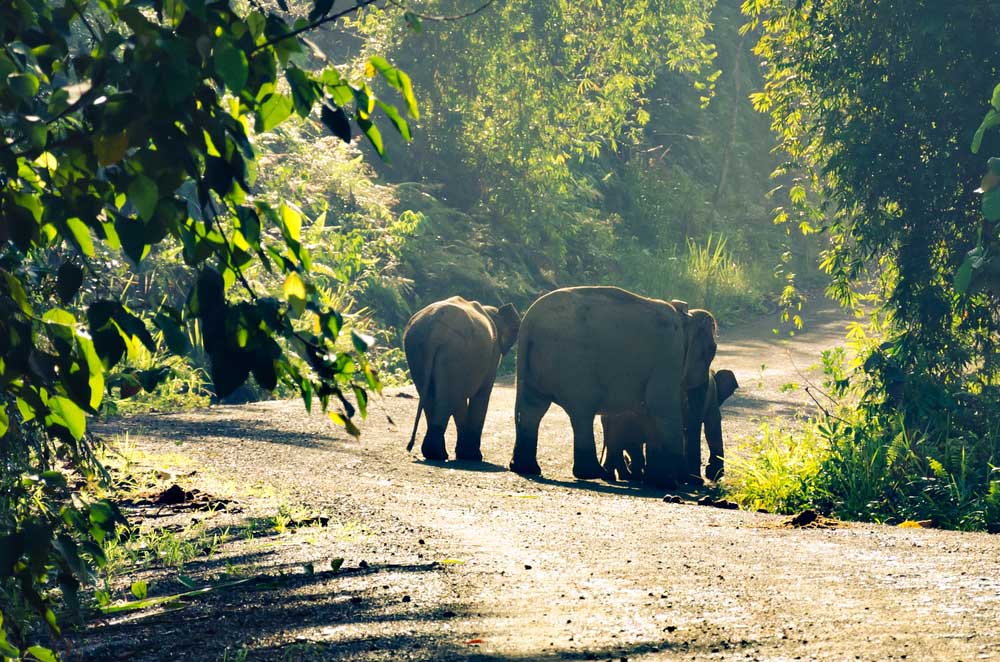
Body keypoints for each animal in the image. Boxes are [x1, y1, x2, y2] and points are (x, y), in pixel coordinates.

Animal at [404, 298, 520, 464]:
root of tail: (434, 330)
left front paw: (465, 455)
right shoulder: (492, 355)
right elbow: (481, 395)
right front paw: (473, 457)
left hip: (419, 349)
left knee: (434, 396)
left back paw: (434, 454)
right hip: (455, 352)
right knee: (447, 397)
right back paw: (438, 455)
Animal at [508, 288, 720, 490]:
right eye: (711, 350)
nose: (698, 480)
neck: (685, 316)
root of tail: (528, 324)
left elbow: (649, 411)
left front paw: (657, 481)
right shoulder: (669, 353)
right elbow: (661, 406)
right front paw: (670, 484)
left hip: (532, 367)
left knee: (532, 409)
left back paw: (526, 468)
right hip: (574, 365)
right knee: (580, 412)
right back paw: (592, 473)